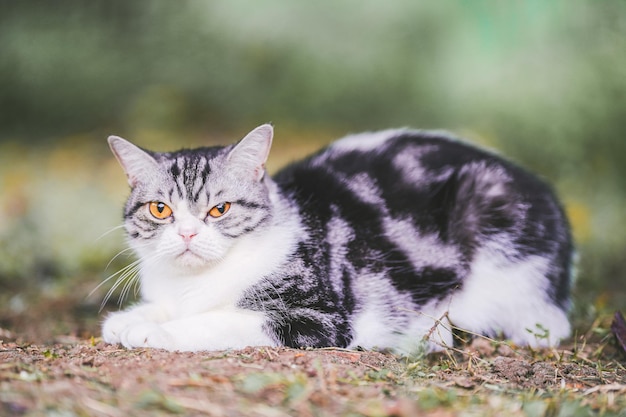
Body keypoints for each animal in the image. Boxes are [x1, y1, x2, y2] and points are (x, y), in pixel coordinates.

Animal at [101, 124, 572, 354]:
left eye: (220, 210)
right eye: (160, 209)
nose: (186, 232)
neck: (194, 284)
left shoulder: (319, 317)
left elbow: (219, 320)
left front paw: (151, 331)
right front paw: (131, 318)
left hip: (496, 221)